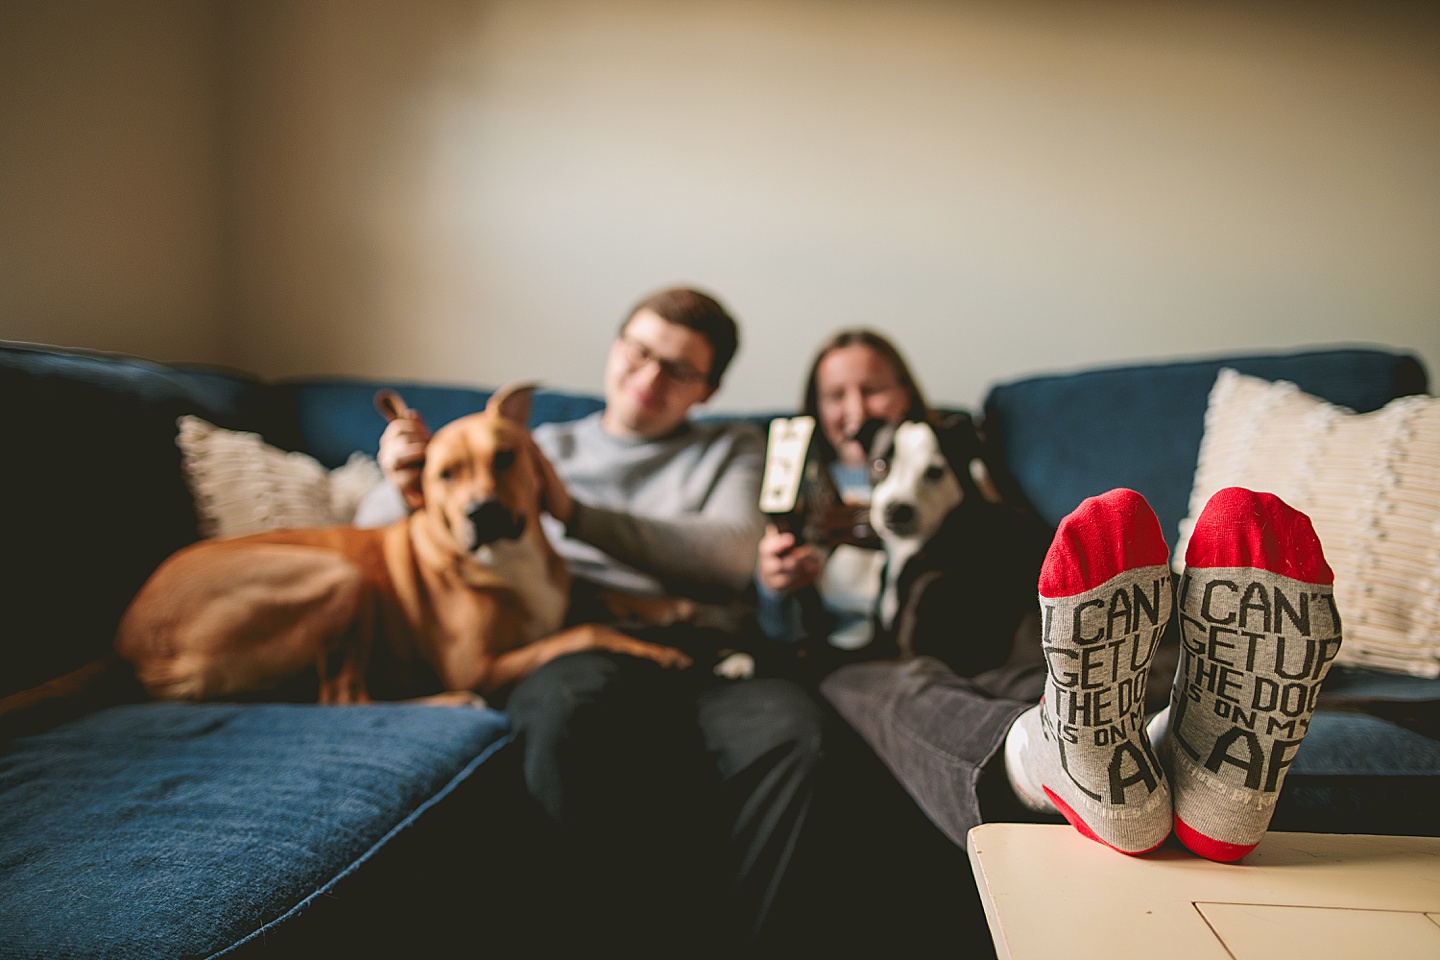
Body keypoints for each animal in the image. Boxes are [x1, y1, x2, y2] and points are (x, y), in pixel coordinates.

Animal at [115, 382, 688, 705]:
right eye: (444, 475)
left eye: (505, 457)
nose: (481, 513)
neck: (509, 560)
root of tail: (130, 646)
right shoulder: (477, 664)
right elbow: (587, 629)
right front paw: (658, 651)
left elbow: (595, 590)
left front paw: (671, 607)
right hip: (342, 577)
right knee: (345, 700)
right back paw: (452, 703)